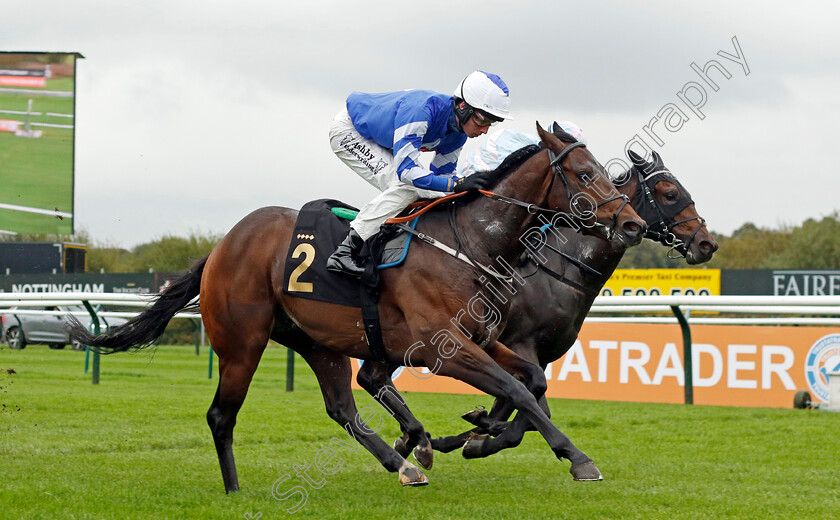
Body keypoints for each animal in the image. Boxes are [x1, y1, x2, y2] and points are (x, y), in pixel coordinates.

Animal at [69, 125, 648, 492]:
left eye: (607, 171)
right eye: (583, 174)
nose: (634, 223)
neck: (472, 243)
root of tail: (220, 247)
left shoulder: (482, 339)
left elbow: (531, 380)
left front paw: (476, 433)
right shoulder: (442, 348)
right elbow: (516, 389)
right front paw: (578, 459)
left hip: (315, 341)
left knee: (342, 407)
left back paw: (405, 463)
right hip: (242, 343)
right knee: (221, 414)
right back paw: (234, 489)